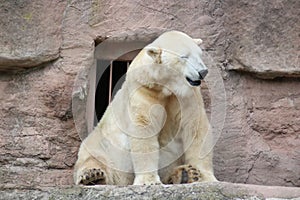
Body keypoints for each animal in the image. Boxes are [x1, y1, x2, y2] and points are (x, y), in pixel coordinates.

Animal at [74, 30, 217, 185]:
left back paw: (186, 174)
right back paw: (93, 175)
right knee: (93, 157)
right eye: (184, 56)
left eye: (200, 54)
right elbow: (144, 128)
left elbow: (195, 127)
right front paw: (149, 181)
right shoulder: (143, 90)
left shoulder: (186, 96)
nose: (203, 71)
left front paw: (206, 177)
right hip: (103, 145)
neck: (165, 87)